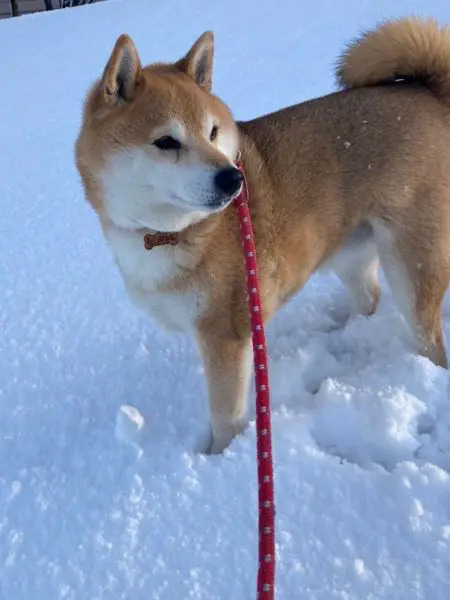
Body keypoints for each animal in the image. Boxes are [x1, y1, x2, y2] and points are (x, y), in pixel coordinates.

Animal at [76, 16, 450, 452]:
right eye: (166, 141)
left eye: (213, 132)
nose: (232, 178)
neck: (169, 233)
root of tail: (429, 94)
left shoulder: (224, 335)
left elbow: (225, 415)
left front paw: (219, 457)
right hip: (351, 253)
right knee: (369, 298)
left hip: (412, 267)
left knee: (428, 338)